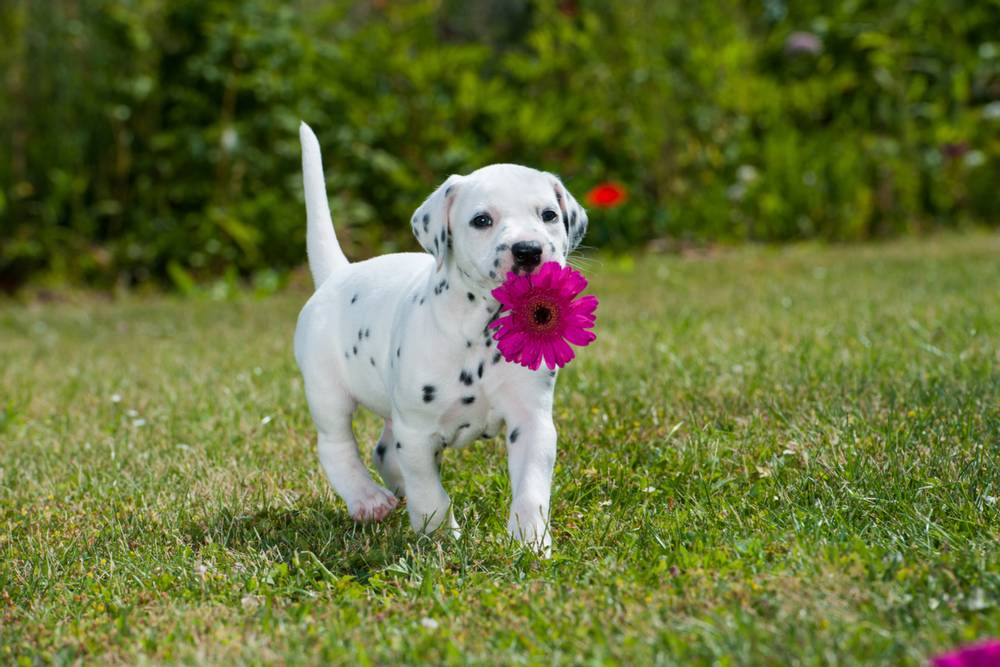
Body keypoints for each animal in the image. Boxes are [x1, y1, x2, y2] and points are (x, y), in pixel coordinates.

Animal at [292, 124, 584, 552]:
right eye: (482, 219)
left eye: (548, 215)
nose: (528, 250)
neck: (480, 328)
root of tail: (338, 273)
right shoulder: (416, 431)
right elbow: (430, 492)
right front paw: (440, 537)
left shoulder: (532, 422)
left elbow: (531, 487)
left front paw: (530, 541)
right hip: (327, 389)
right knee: (336, 445)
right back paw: (366, 498)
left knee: (384, 453)